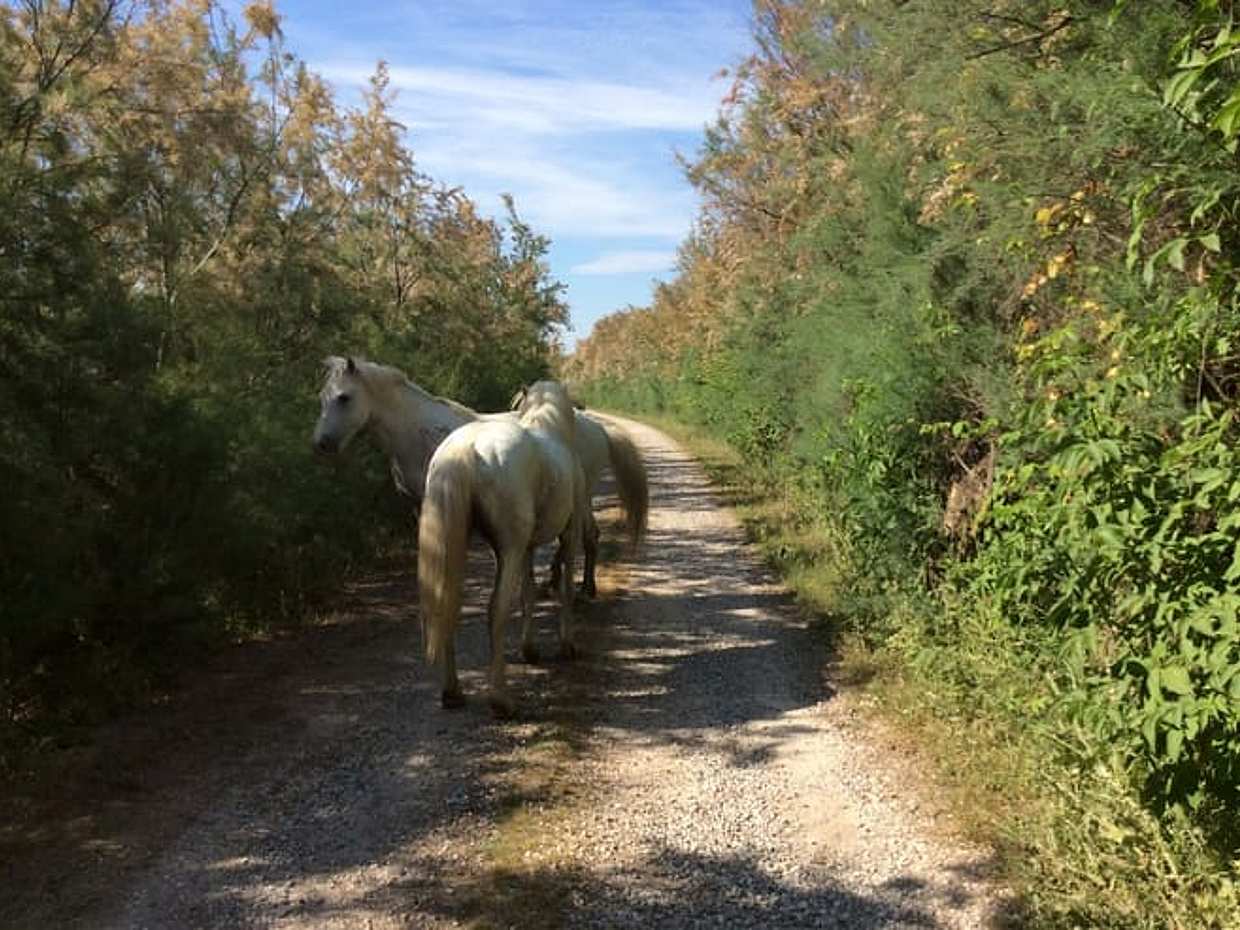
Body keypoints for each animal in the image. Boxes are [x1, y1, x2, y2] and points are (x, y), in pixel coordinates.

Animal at [311, 357, 647, 595]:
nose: (322, 444)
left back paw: (583, 587)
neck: (417, 431)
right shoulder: (420, 504)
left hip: (581, 496)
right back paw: (558, 583)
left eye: (344, 397)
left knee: (587, 536)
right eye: (322, 398)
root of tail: (596, 427)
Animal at [417, 379, 588, 715]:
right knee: (496, 609)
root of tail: (466, 448)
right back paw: (501, 700)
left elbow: (529, 593)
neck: (551, 427)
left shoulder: (528, 548)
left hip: (463, 546)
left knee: (448, 603)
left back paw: (453, 692)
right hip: (509, 547)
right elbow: (565, 589)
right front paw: (567, 645)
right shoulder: (569, 535)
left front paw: (530, 650)